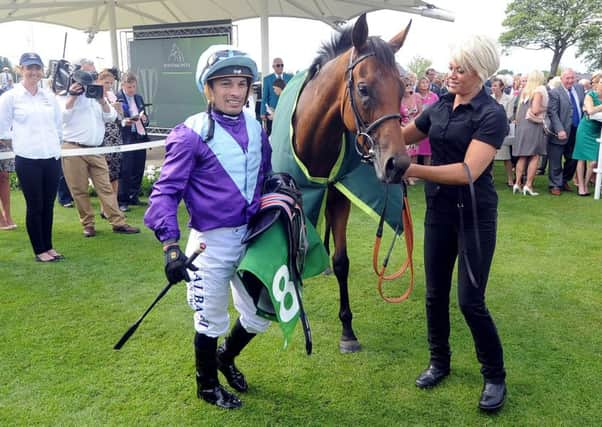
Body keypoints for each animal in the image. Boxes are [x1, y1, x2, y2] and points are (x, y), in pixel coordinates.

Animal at [270, 14, 410, 354]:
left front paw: (347, 330)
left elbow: (342, 260)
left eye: (402, 89)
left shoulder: (338, 196)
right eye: (363, 88)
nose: (397, 164)